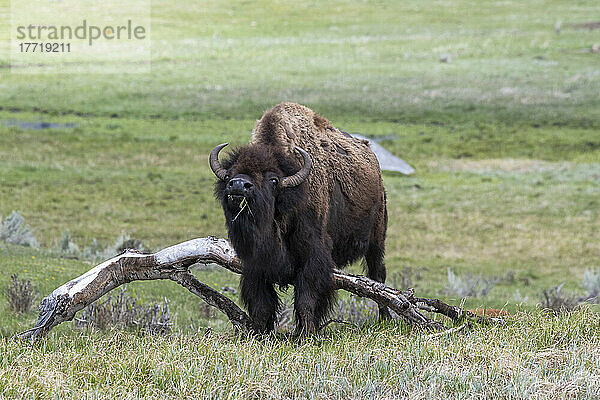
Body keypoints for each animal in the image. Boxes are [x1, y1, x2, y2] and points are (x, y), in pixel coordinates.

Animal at [211, 102, 390, 334]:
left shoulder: (312, 257)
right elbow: (261, 304)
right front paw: (259, 333)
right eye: (231, 173)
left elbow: (306, 300)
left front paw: (307, 334)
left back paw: (385, 319)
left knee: (378, 277)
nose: (239, 185)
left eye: (273, 180)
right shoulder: (254, 265)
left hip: (376, 240)